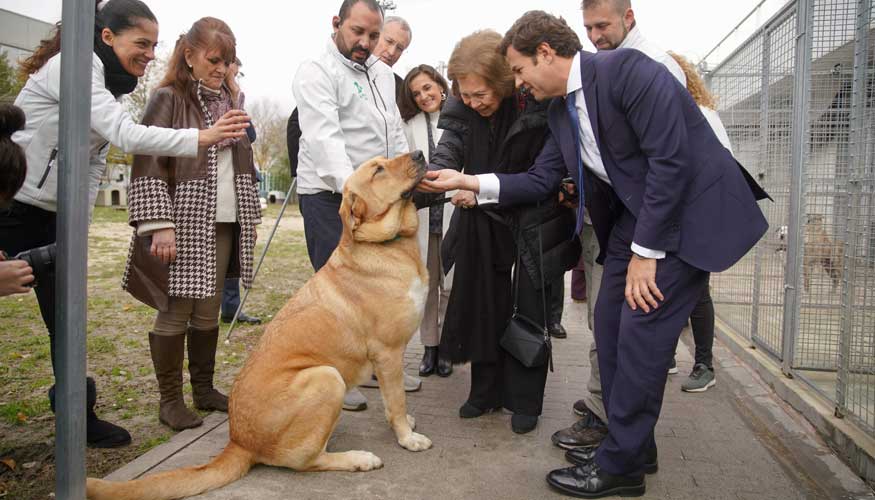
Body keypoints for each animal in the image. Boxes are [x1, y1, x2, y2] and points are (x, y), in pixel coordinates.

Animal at [87, 151, 432, 500]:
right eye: (378, 170)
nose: (419, 154)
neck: (389, 245)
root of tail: (239, 442)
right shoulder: (388, 352)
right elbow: (396, 401)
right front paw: (407, 438)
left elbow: (393, 399)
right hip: (327, 377)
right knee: (304, 460)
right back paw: (358, 459)